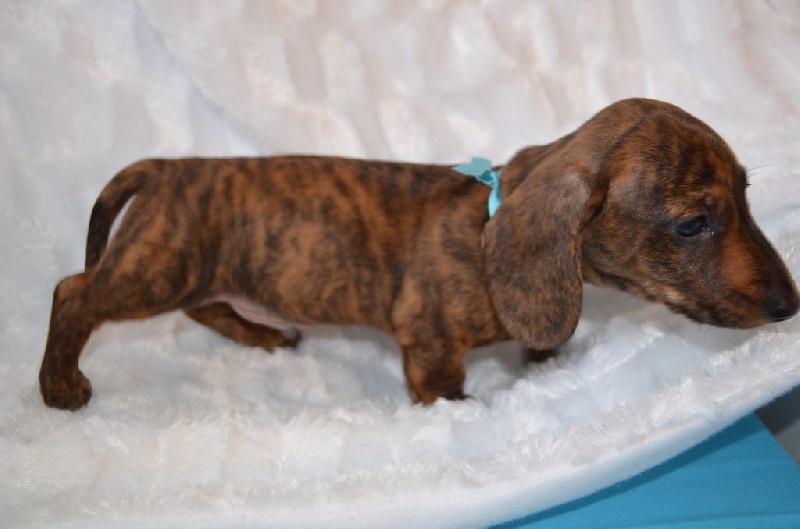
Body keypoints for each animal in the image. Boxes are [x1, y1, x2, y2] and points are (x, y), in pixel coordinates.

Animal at [39, 98, 799, 410]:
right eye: (693, 223)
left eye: (747, 195)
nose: (789, 306)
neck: (492, 215)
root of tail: (168, 166)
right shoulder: (430, 347)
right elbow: (447, 392)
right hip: (157, 270)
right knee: (74, 291)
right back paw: (60, 384)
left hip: (193, 272)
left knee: (205, 308)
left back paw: (262, 334)